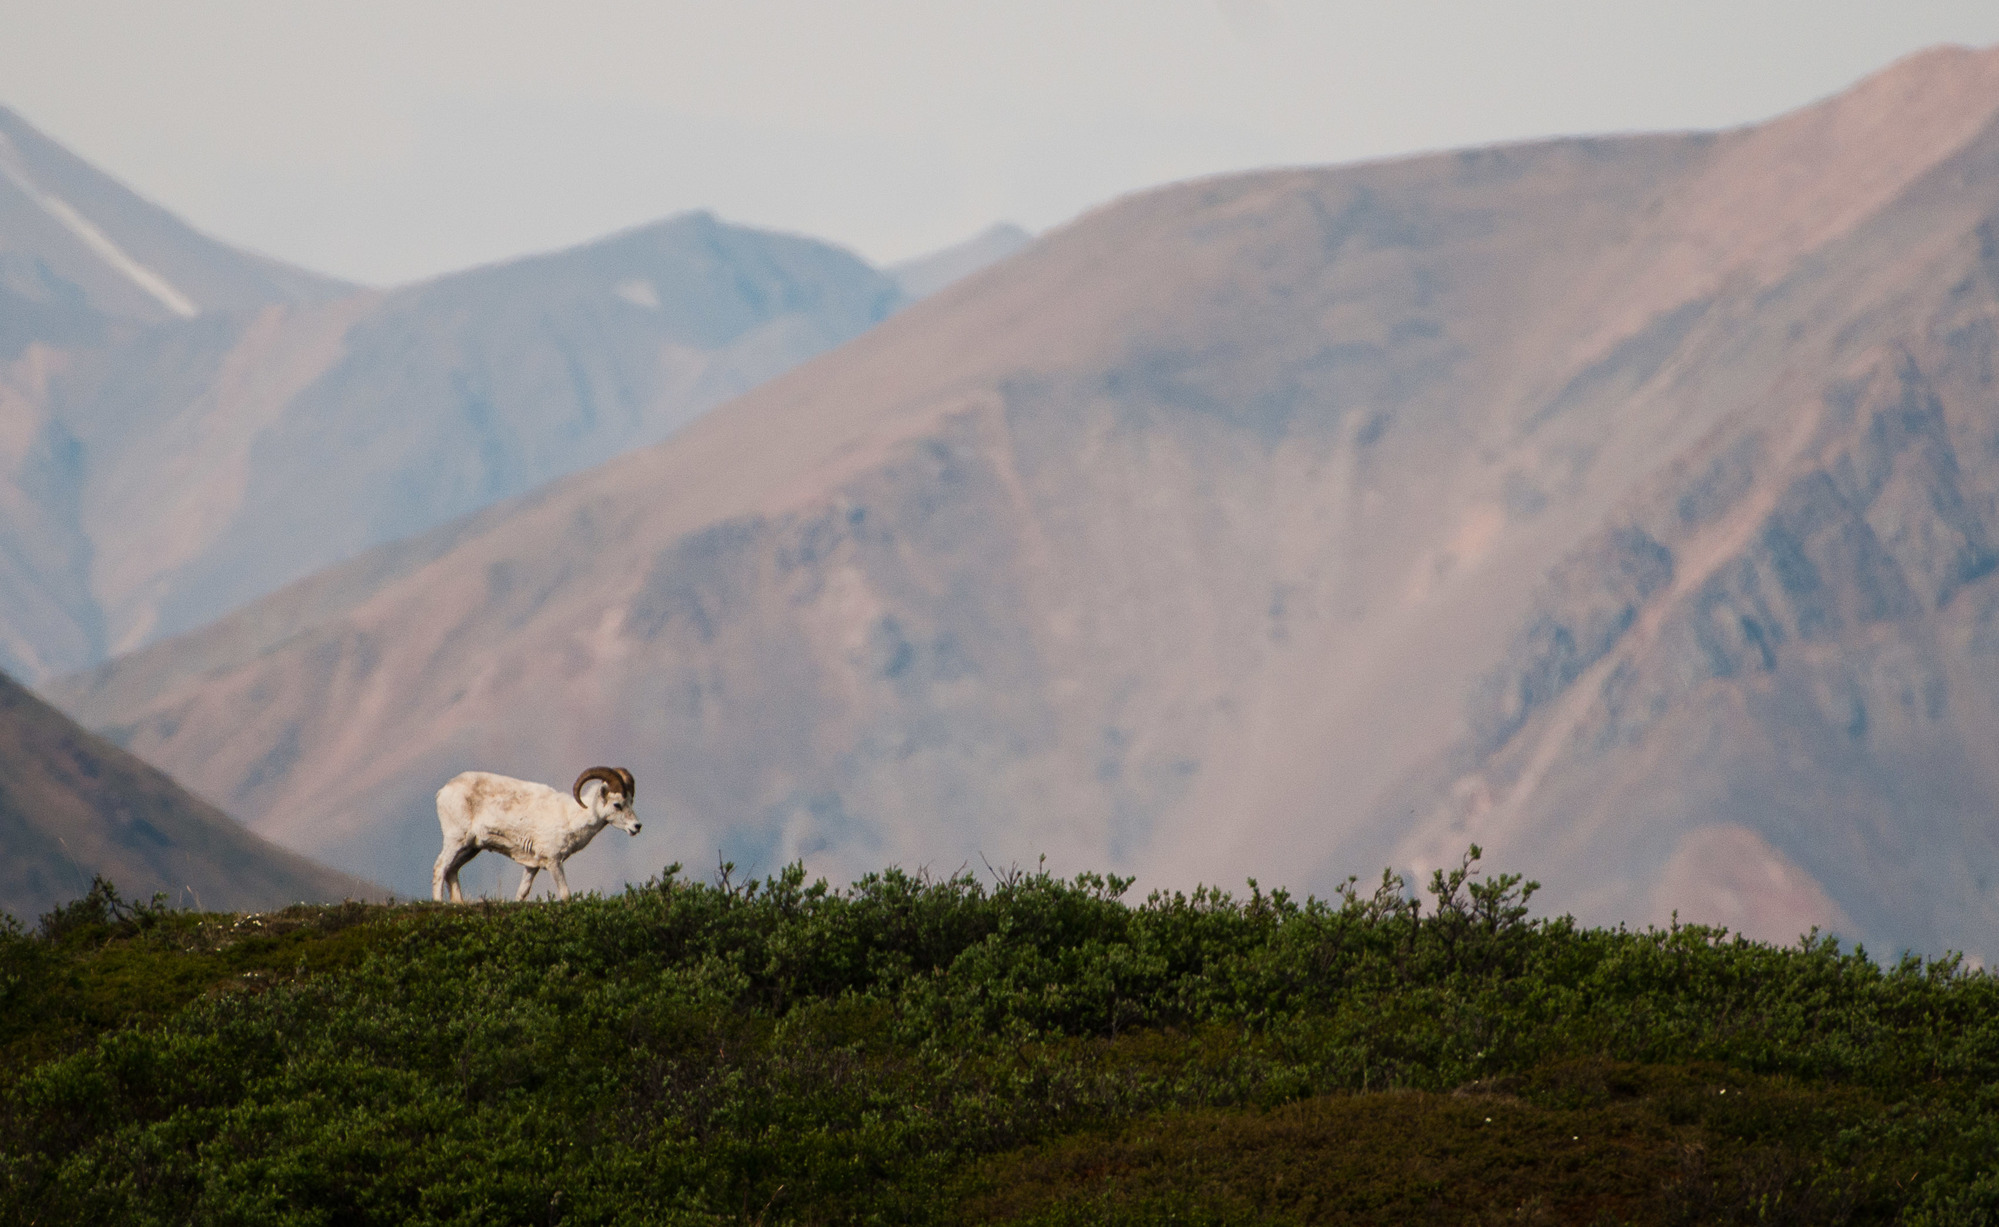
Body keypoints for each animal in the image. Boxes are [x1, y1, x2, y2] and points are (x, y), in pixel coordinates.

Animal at [432, 766, 641, 902]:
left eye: (631, 801)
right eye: (617, 804)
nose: (637, 826)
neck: (569, 817)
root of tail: (443, 791)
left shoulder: (531, 866)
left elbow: (522, 893)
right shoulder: (554, 862)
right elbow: (565, 894)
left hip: (471, 848)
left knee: (452, 870)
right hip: (456, 840)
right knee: (440, 867)